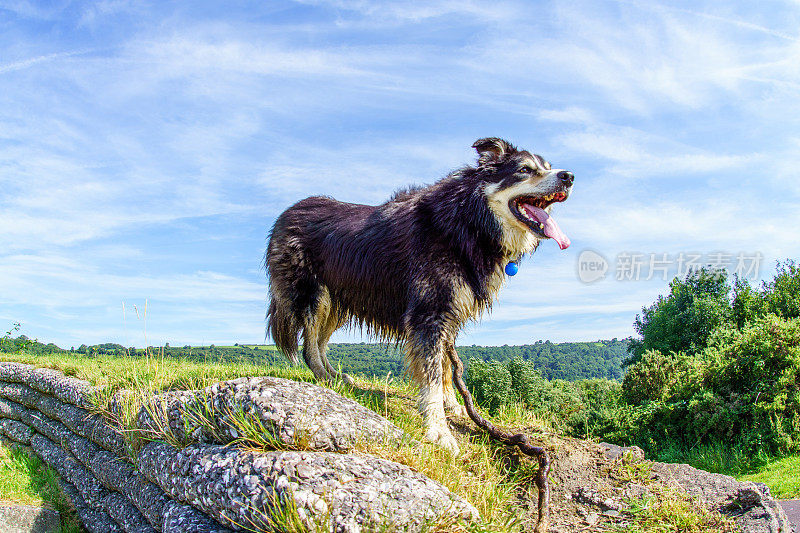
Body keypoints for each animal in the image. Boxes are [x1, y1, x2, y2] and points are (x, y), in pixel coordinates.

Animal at [266, 138, 572, 454]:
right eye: (525, 170)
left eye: (548, 167)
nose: (569, 177)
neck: (469, 221)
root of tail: (283, 216)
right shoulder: (429, 313)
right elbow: (432, 374)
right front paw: (439, 430)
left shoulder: (449, 313)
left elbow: (446, 368)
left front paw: (452, 406)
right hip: (311, 295)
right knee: (309, 345)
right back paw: (324, 377)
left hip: (339, 300)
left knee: (319, 341)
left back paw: (337, 378)